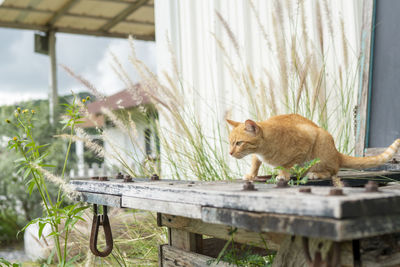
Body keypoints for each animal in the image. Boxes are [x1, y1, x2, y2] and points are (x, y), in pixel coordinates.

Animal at [227, 114, 400, 181]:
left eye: (239, 143)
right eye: (230, 142)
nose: (229, 153)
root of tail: (337, 153)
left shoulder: (306, 142)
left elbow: (288, 164)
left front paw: (283, 175)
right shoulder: (257, 155)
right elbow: (255, 163)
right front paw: (251, 175)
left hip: (321, 143)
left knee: (332, 171)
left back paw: (315, 174)